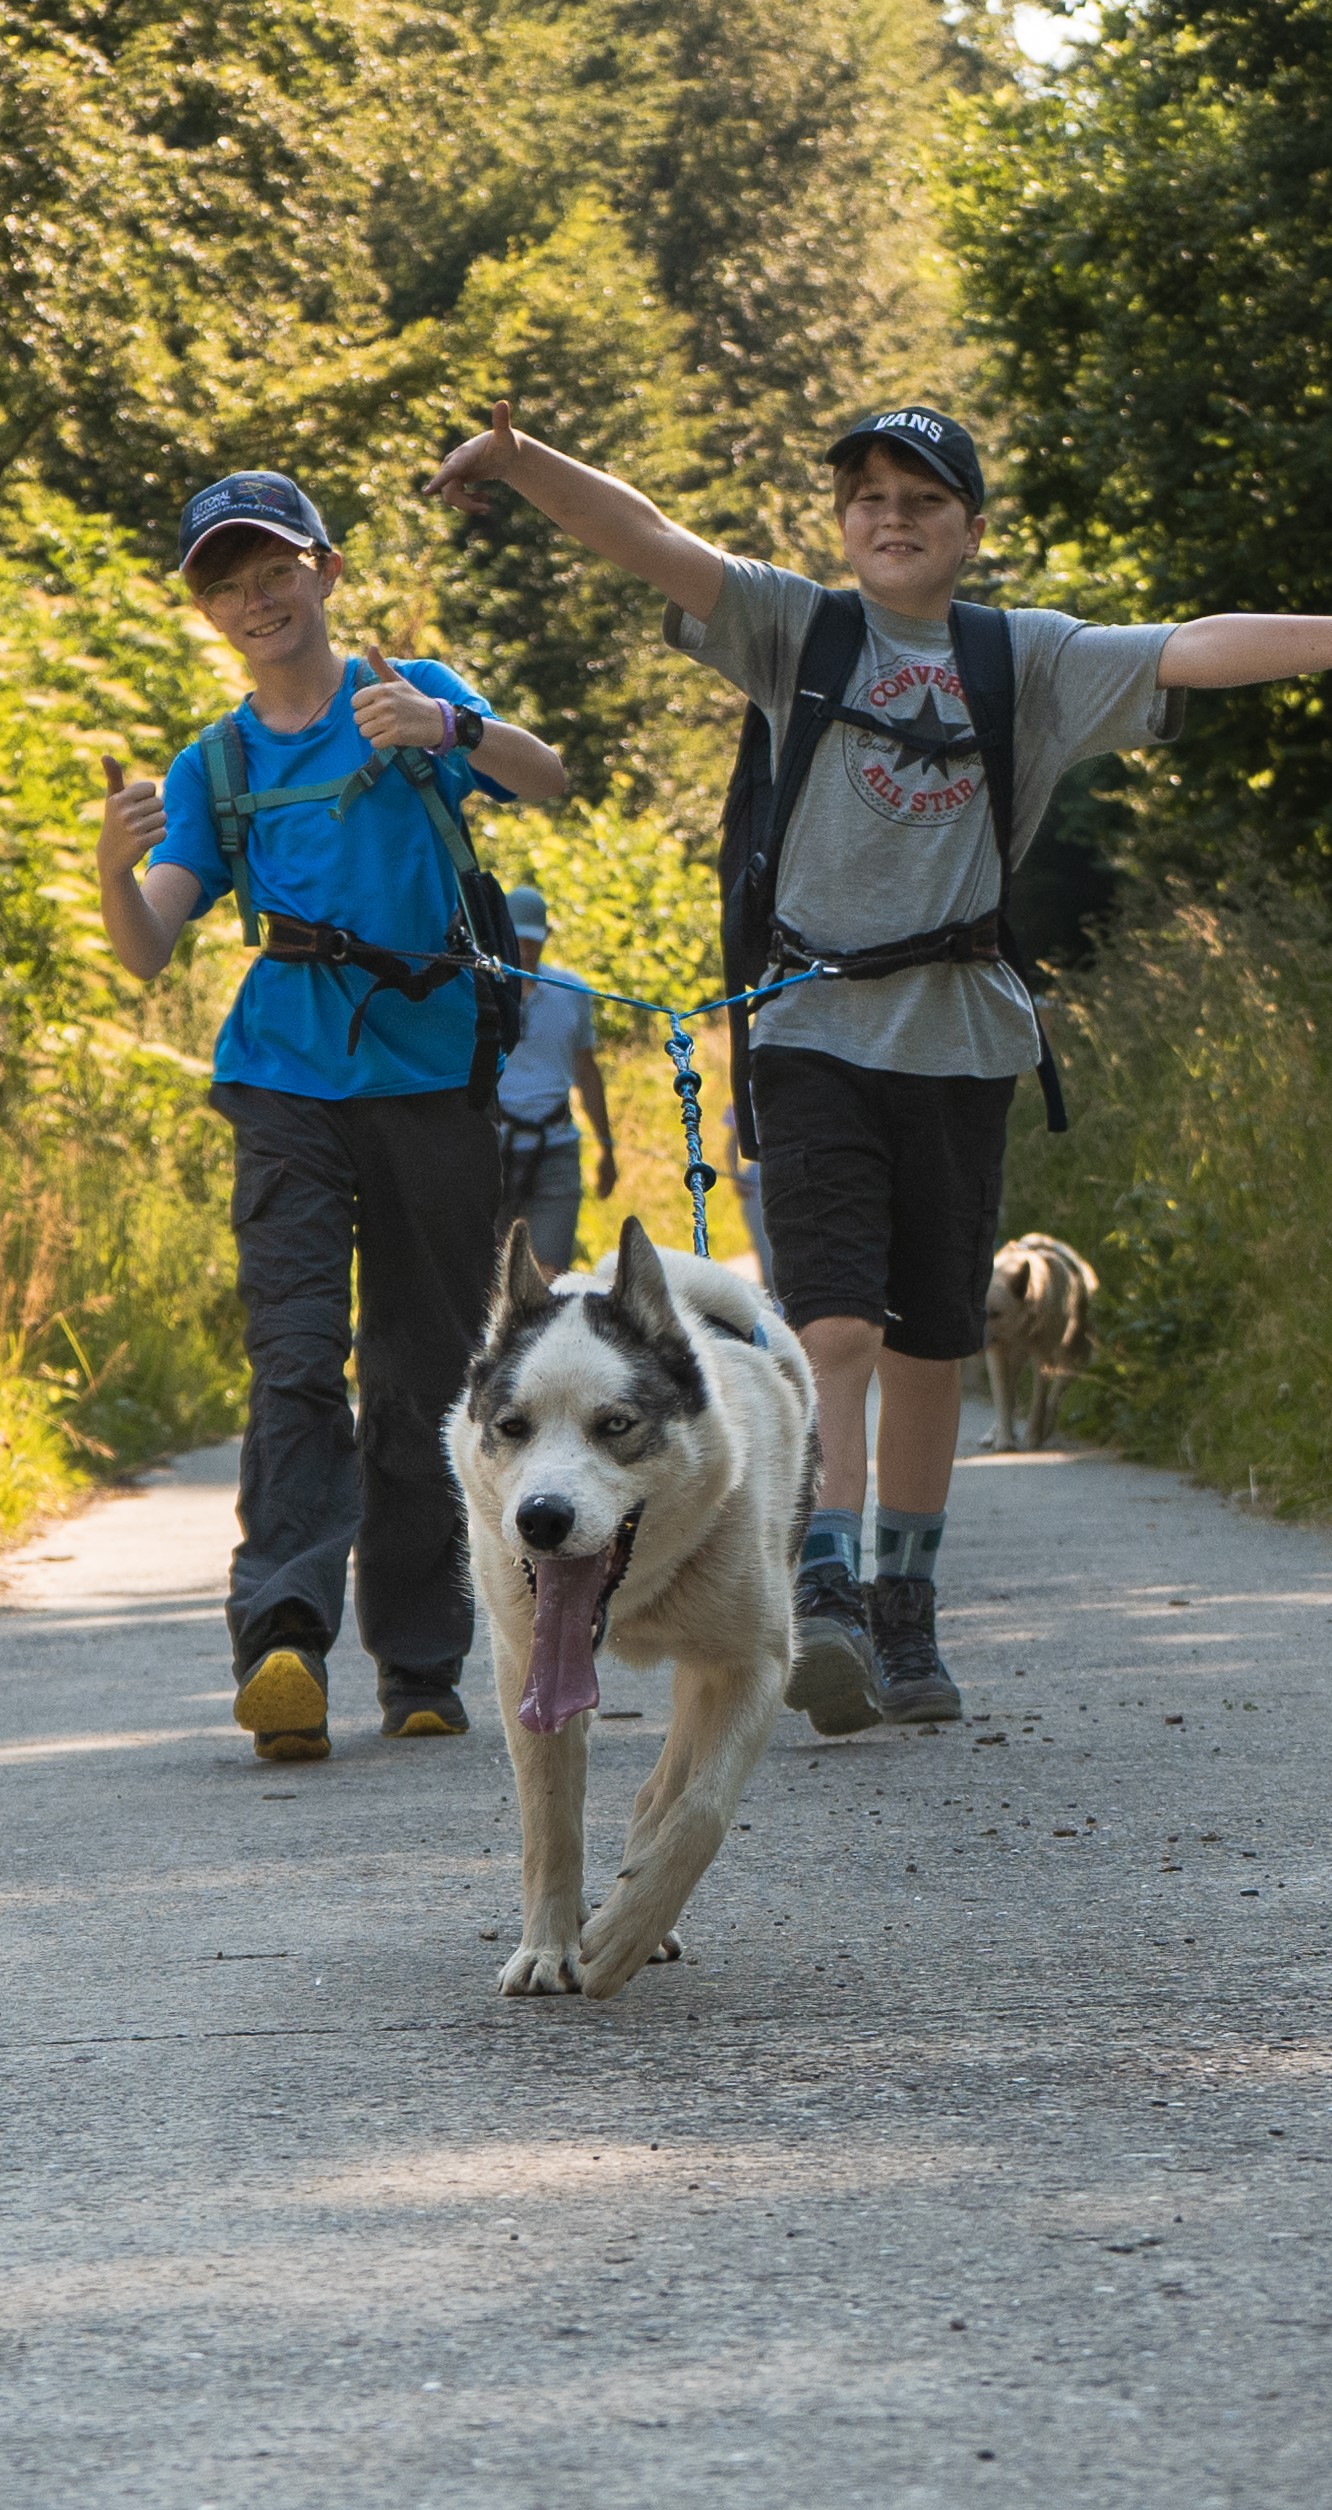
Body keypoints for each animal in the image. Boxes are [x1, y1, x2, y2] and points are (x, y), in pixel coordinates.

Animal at [449, 1214, 817, 1997]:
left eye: (616, 1426)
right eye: (512, 1426)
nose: (541, 1518)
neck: (637, 1597)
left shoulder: (755, 1665)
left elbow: (701, 1810)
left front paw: (625, 1931)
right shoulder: (525, 1662)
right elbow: (550, 1824)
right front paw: (548, 1946)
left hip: (711, 1660)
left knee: (671, 1784)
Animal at [983, 1234, 1098, 1455]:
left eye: (995, 1313)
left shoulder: (1042, 1356)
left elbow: (1039, 1401)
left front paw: (1033, 1437)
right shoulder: (997, 1354)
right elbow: (1003, 1398)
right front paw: (1003, 1440)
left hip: (1070, 1356)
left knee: (1053, 1396)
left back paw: (1044, 1428)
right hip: (1018, 1359)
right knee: (1011, 1393)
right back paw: (995, 1433)